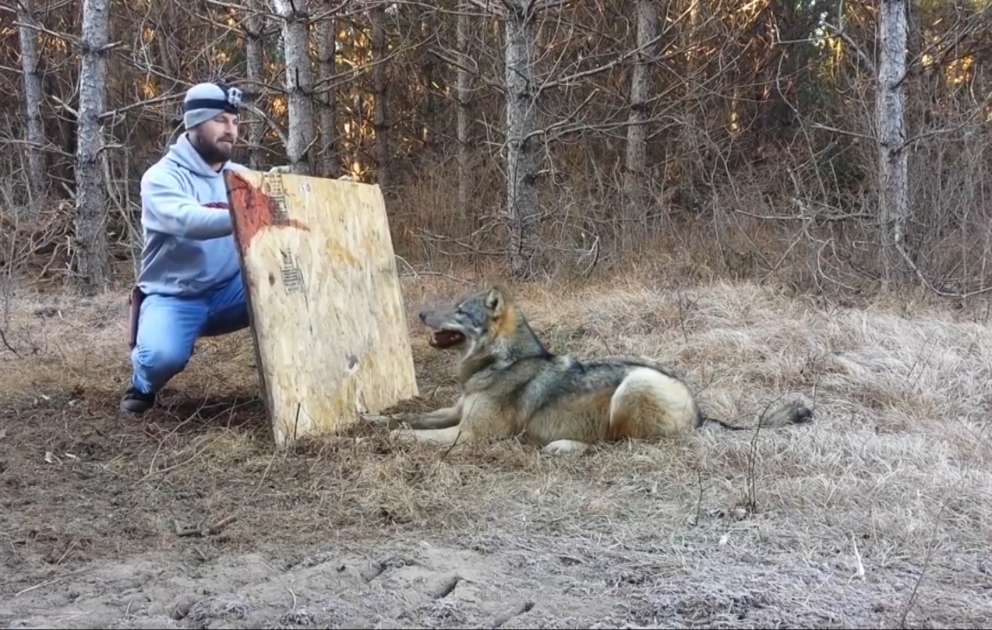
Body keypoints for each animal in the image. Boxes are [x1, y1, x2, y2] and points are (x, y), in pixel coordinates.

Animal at [360, 286, 808, 454]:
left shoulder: (470, 435)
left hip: (630, 388)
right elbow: (407, 416)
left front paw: (384, 439)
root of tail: (700, 411)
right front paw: (371, 421)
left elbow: (412, 434)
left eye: (458, 311)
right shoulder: (455, 411)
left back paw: (564, 447)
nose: (419, 314)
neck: (502, 362)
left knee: (614, 444)